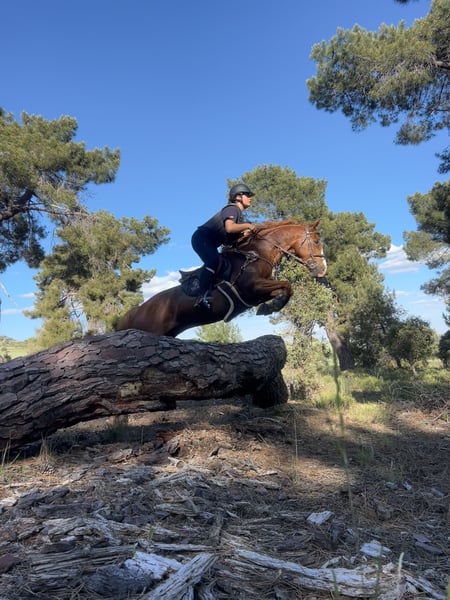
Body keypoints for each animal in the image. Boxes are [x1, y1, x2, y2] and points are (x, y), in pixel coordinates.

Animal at [116, 219, 327, 337]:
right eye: (316, 241)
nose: (323, 270)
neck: (259, 252)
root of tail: (130, 314)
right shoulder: (251, 287)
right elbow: (288, 285)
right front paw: (271, 307)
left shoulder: (258, 293)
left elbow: (286, 289)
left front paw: (270, 307)